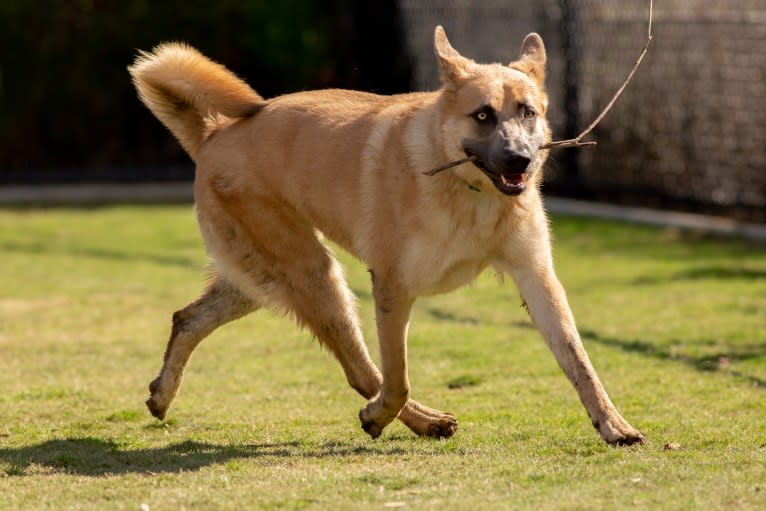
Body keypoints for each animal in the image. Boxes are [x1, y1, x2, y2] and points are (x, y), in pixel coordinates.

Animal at [129, 26, 644, 446]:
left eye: (528, 112)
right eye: (483, 115)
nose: (520, 159)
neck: (467, 192)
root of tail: (214, 134)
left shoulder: (538, 278)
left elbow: (579, 361)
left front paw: (613, 426)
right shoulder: (394, 287)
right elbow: (396, 377)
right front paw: (378, 416)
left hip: (260, 279)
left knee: (187, 319)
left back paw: (161, 394)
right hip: (314, 277)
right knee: (362, 371)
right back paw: (418, 421)